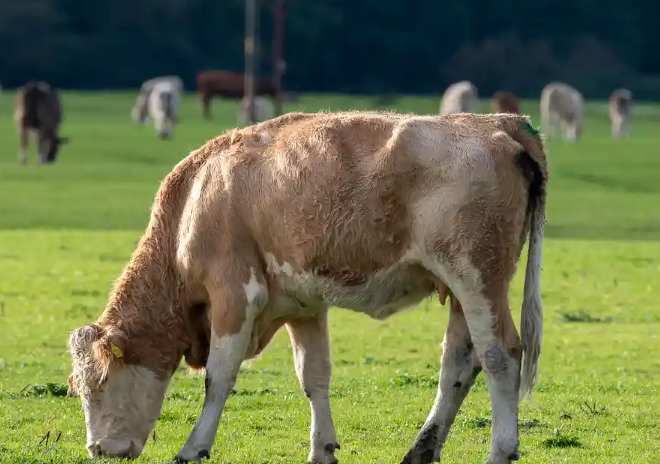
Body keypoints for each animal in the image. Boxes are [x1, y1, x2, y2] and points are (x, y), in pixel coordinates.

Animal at [69, 109, 548, 464]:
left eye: (98, 384)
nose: (97, 450)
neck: (195, 200)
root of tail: (502, 121)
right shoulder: (304, 307)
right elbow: (313, 376)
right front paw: (323, 448)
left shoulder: (235, 293)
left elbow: (219, 378)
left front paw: (193, 447)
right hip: (462, 291)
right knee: (458, 366)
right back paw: (421, 450)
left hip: (477, 279)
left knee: (501, 355)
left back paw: (499, 450)